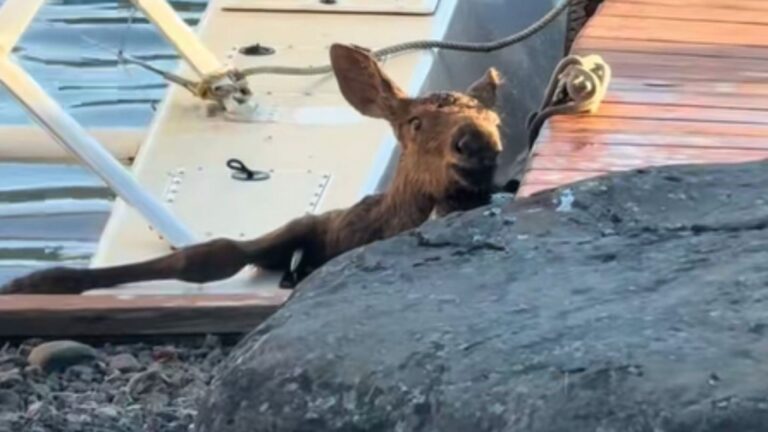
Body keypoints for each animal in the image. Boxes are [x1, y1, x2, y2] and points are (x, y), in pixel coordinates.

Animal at [0, 43, 504, 295]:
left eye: (496, 119)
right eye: (415, 123)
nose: (477, 143)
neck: (386, 225)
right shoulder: (309, 226)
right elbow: (211, 253)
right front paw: (34, 281)